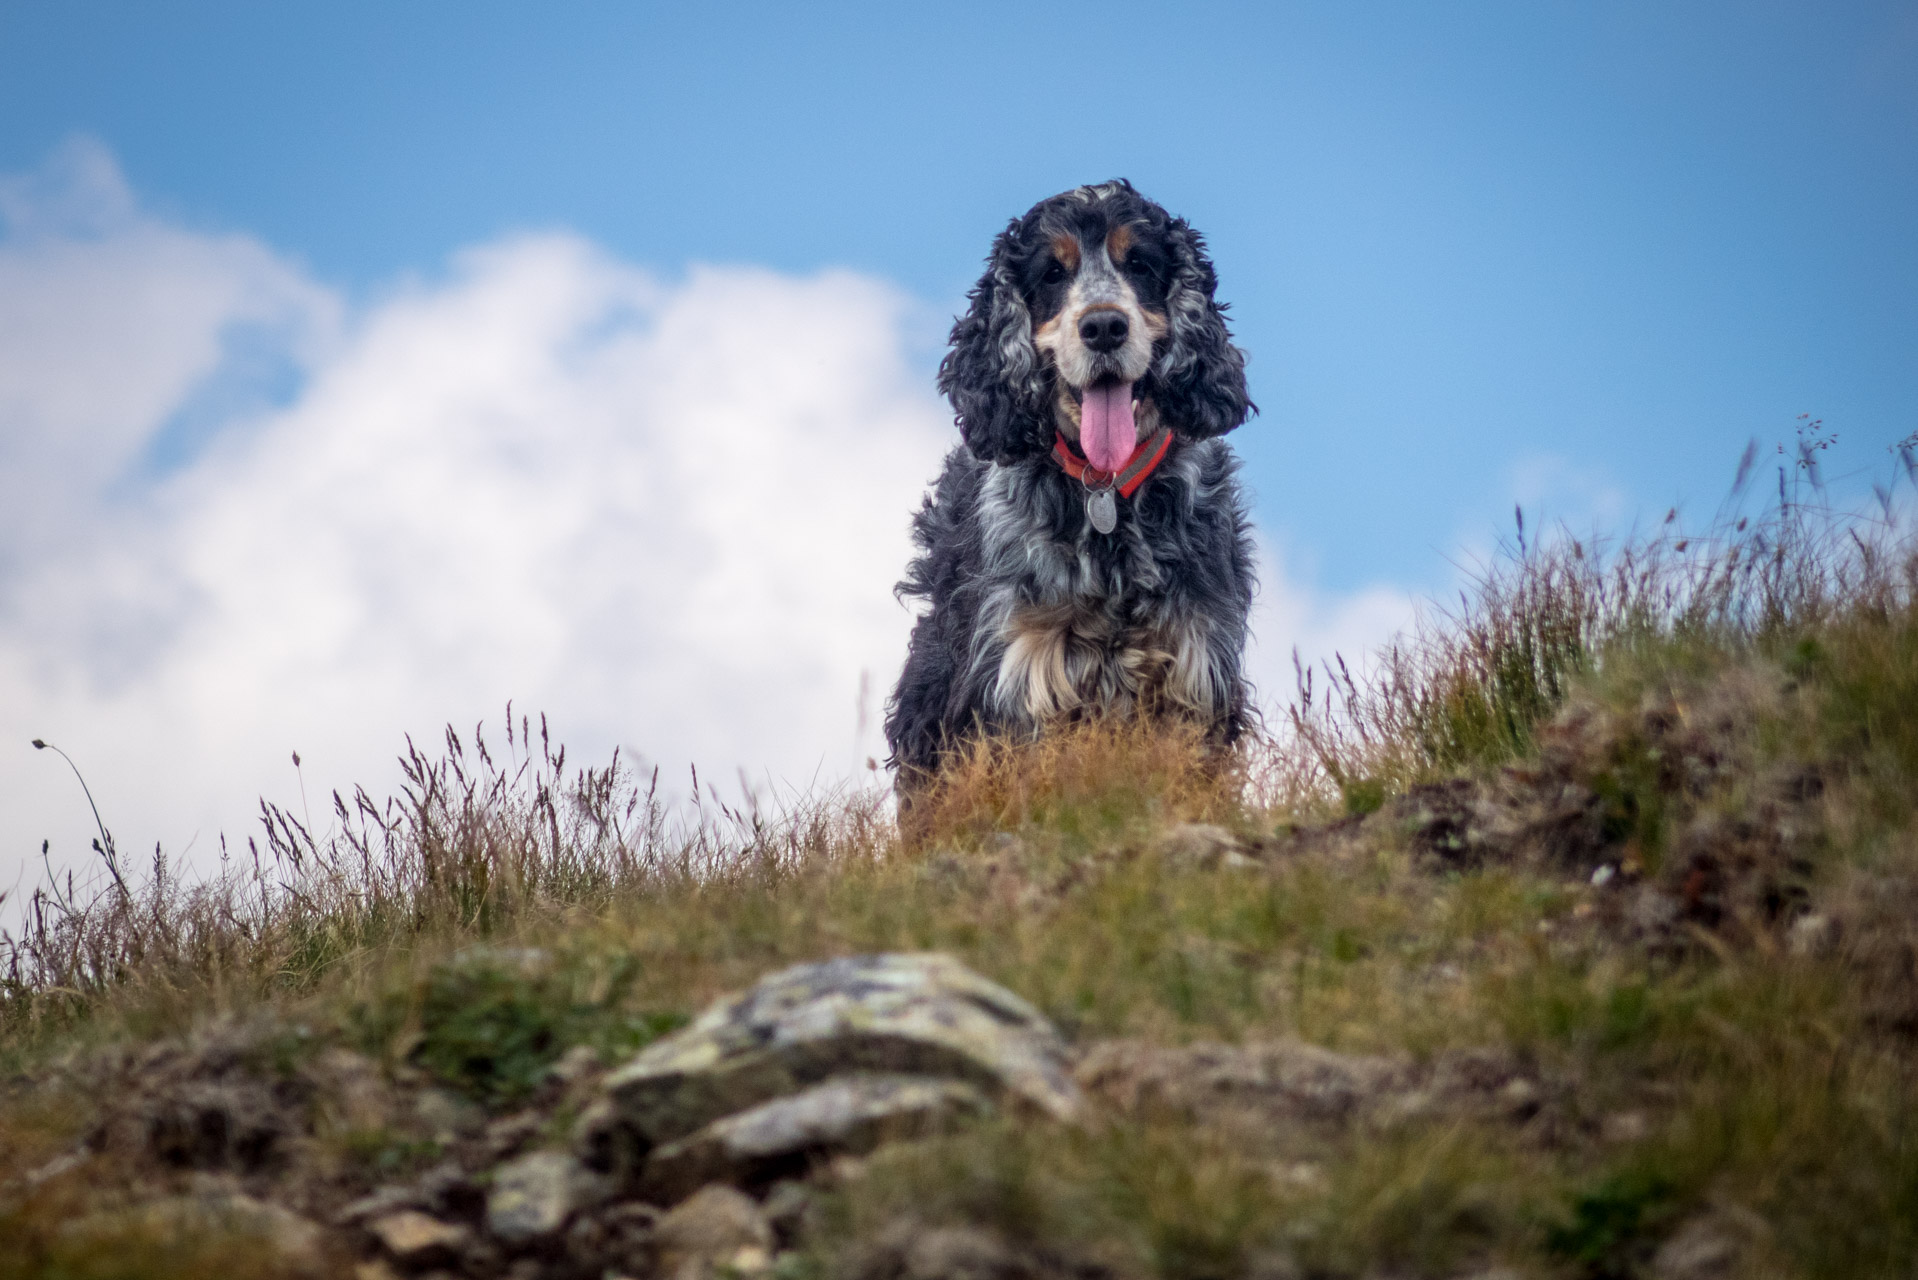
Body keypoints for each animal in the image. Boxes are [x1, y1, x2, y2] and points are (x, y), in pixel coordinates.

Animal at [882, 177, 1258, 782]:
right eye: (1052, 273)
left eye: (1140, 263)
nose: (1103, 326)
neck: (1105, 494)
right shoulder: (1016, 676)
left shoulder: (1194, 672)